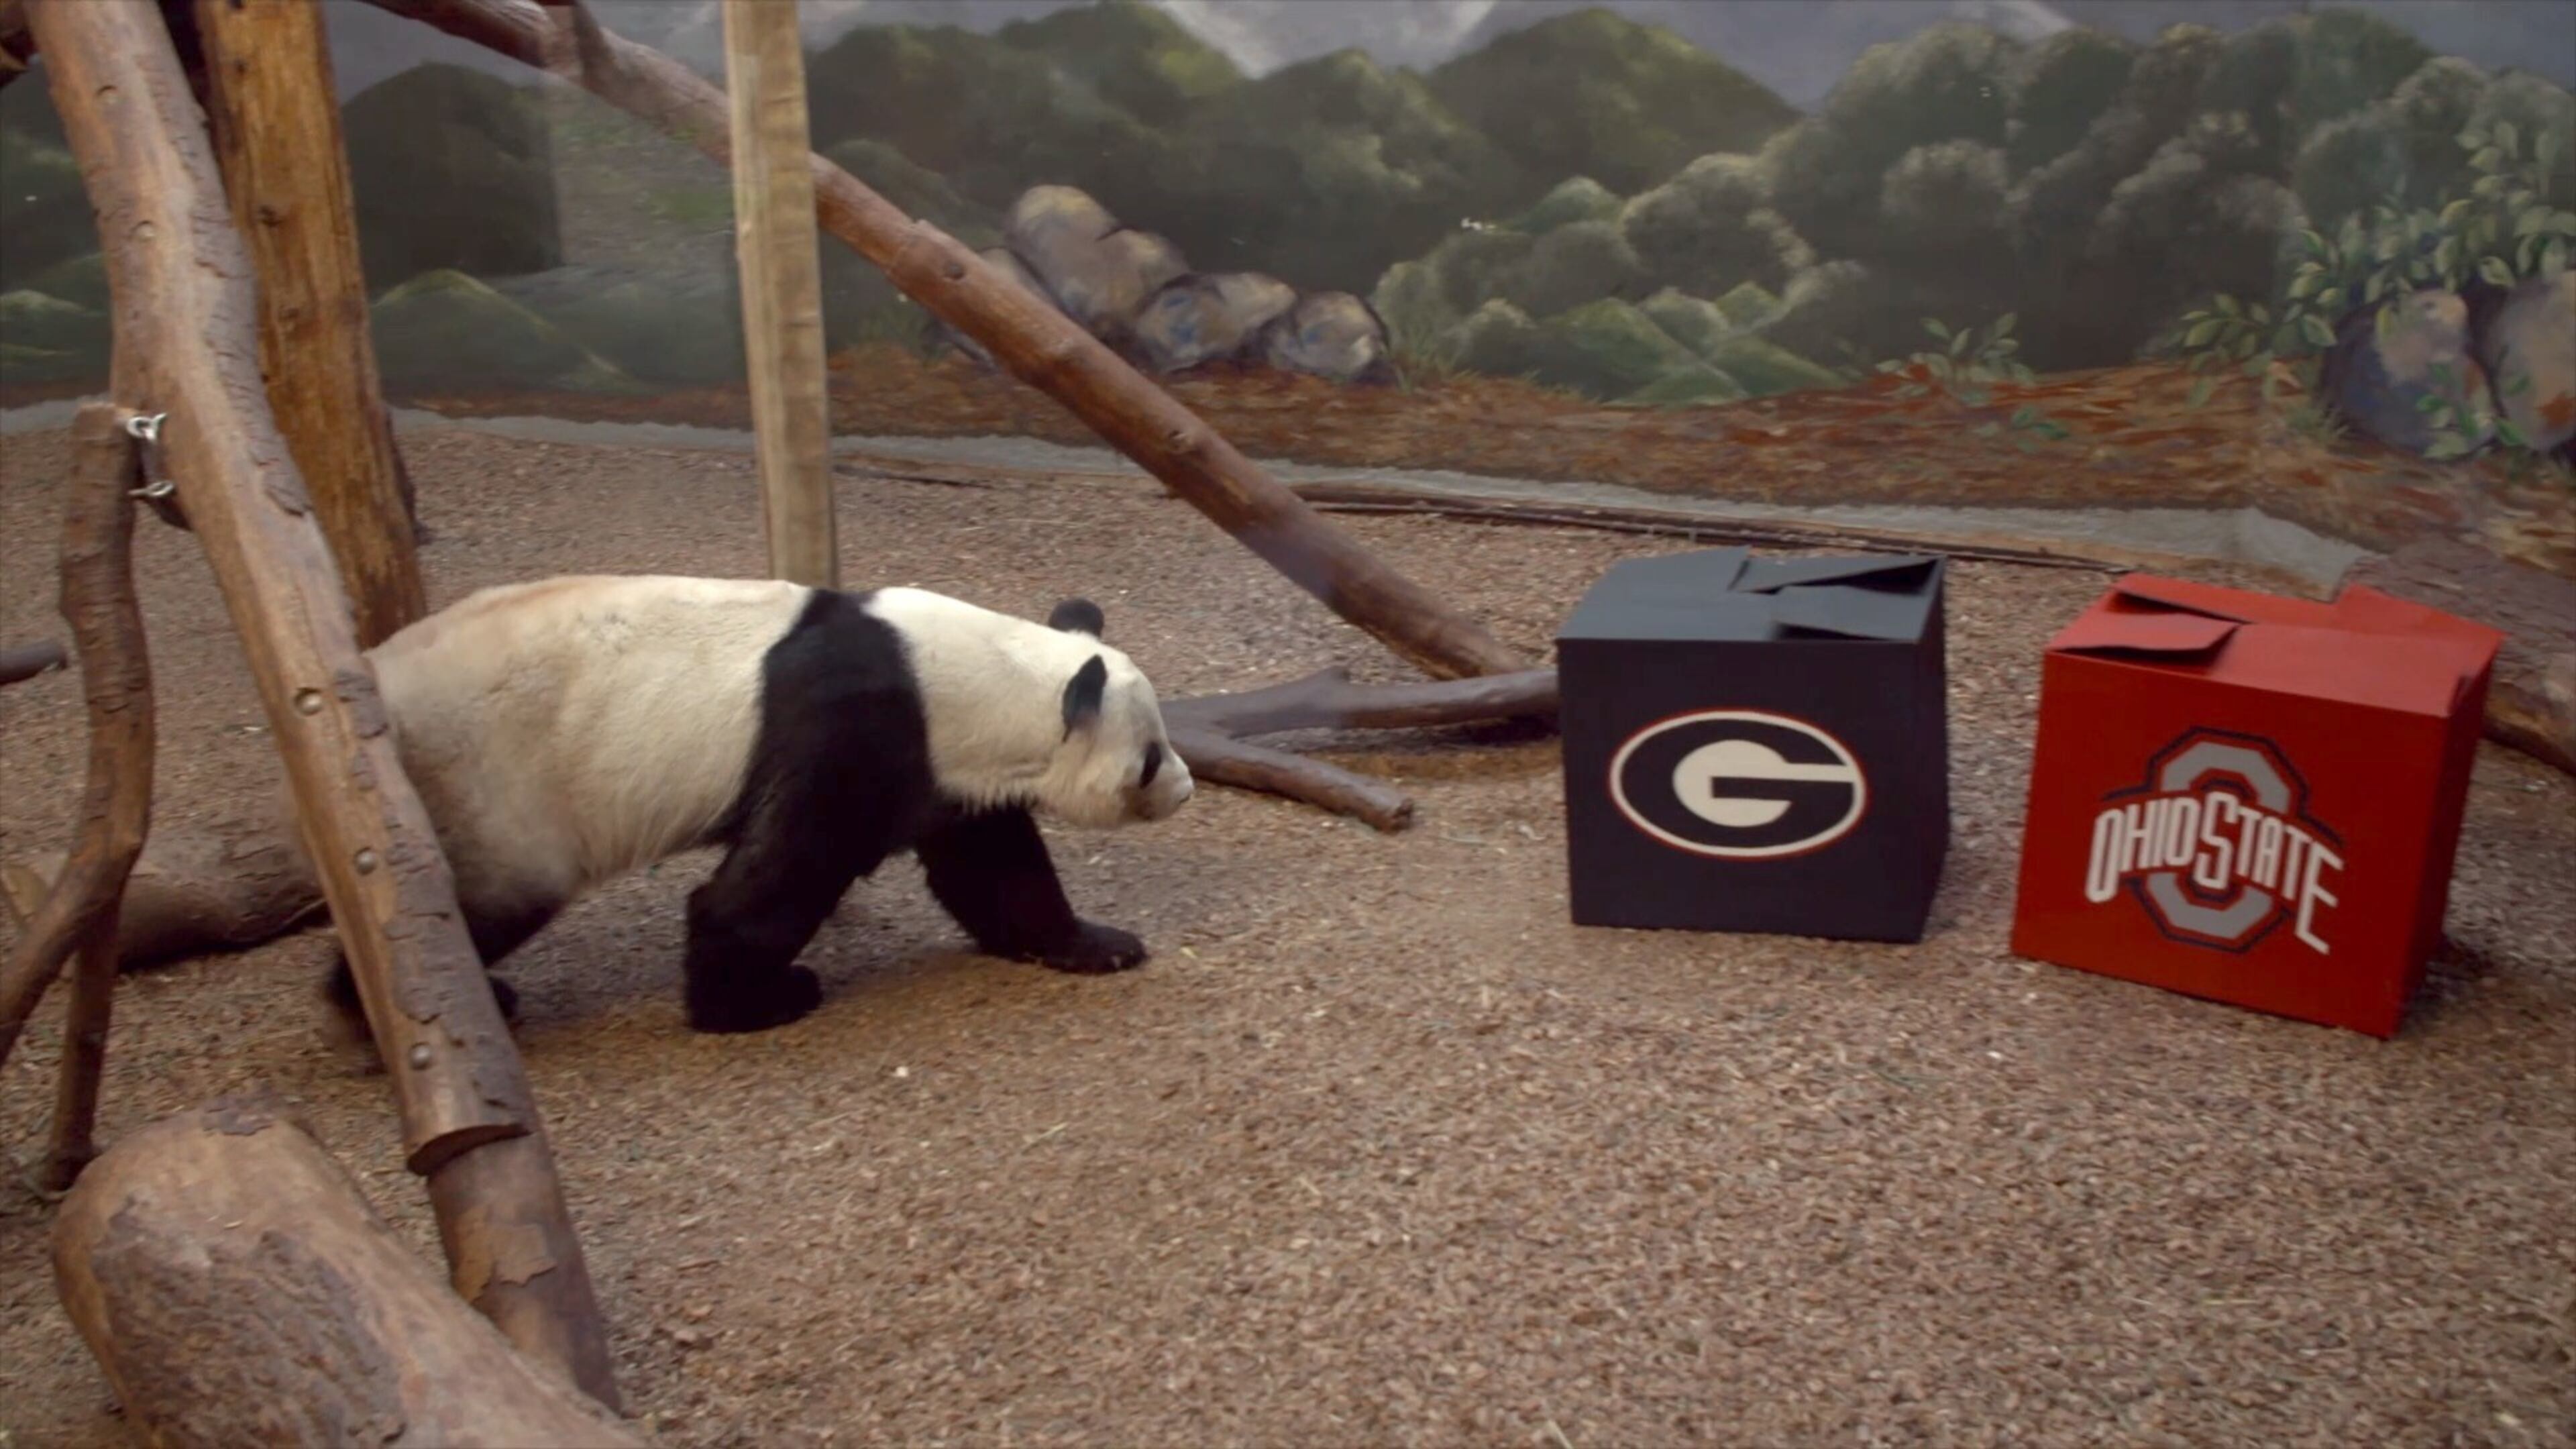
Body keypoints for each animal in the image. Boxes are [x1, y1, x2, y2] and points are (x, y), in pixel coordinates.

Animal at [303, 572, 1194, 1044]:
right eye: (1150, 756)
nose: (1185, 788)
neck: (974, 671)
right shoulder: (857, 727)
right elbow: (775, 878)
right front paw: (756, 1001)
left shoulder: (947, 768)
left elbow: (995, 866)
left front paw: (1095, 945)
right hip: (489, 789)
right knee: (471, 901)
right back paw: (395, 1005)